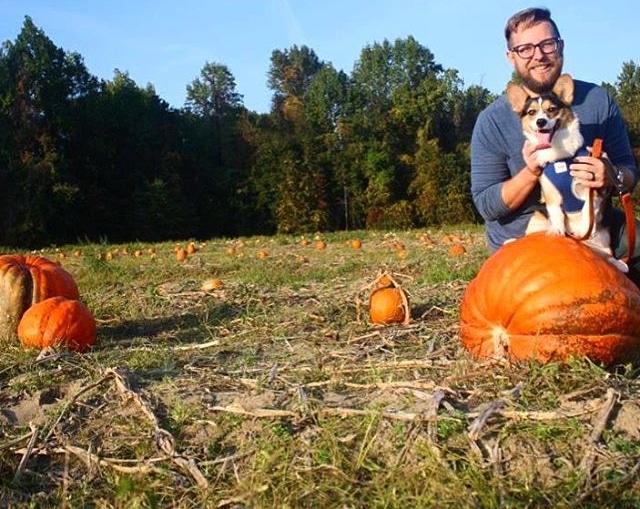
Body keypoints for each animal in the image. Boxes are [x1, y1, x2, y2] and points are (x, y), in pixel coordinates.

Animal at [504, 74, 624, 272]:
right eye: (531, 112)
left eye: (551, 109)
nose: (541, 122)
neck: (560, 157)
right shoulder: (550, 194)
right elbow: (557, 213)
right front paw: (558, 230)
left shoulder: (591, 187)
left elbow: (587, 210)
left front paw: (584, 227)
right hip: (537, 218)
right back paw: (511, 241)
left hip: (603, 241)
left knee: (608, 256)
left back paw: (617, 263)